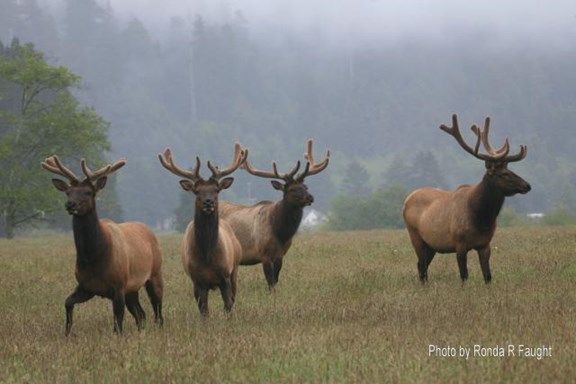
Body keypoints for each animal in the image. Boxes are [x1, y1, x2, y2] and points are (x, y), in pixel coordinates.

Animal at [41, 154, 163, 334]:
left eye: (88, 192)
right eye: (68, 192)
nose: (70, 204)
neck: (93, 259)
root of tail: (148, 230)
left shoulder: (118, 286)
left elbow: (117, 324)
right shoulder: (86, 286)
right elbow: (67, 303)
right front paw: (67, 333)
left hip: (155, 273)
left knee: (157, 308)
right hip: (132, 288)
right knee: (141, 314)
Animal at [159, 143, 246, 316]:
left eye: (216, 190)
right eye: (197, 191)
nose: (208, 202)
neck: (207, 255)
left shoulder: (225, 274)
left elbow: (228, 305)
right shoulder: (198, 280)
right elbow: (203, 310)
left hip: (235, 268)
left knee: (233, 298)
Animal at [219, 140, 328, 290]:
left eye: (306, 187)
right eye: (292, 189)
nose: (310, 198)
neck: (281, 233)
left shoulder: (280, 255)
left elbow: (276, 280)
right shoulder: (263, 253)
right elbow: (270, 281)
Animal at [402, 114, 528, 282]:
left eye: (510, 170)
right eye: (503, 174)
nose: (527, 185)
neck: (482, 219)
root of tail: (406, 200)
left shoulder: (485, 244)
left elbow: (488, 276)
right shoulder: (459, 243)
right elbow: (464, 275)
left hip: (431, 245)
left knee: (421, 266)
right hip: (415, 236)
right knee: (421, 266)